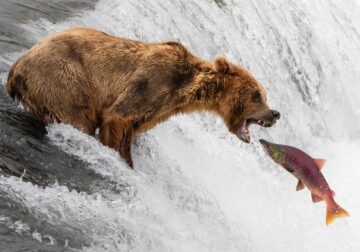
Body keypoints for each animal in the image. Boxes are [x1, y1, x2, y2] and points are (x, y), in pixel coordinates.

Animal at [7, 27, 280, 167]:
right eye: (256, 94)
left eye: (264, 95)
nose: (275, 113)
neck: (185, 90)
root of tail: (16, 67)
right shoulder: (152, 83)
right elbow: (118, 120)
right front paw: (125, 160)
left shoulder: (158, 108)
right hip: (64, 78)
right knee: (78, 118)